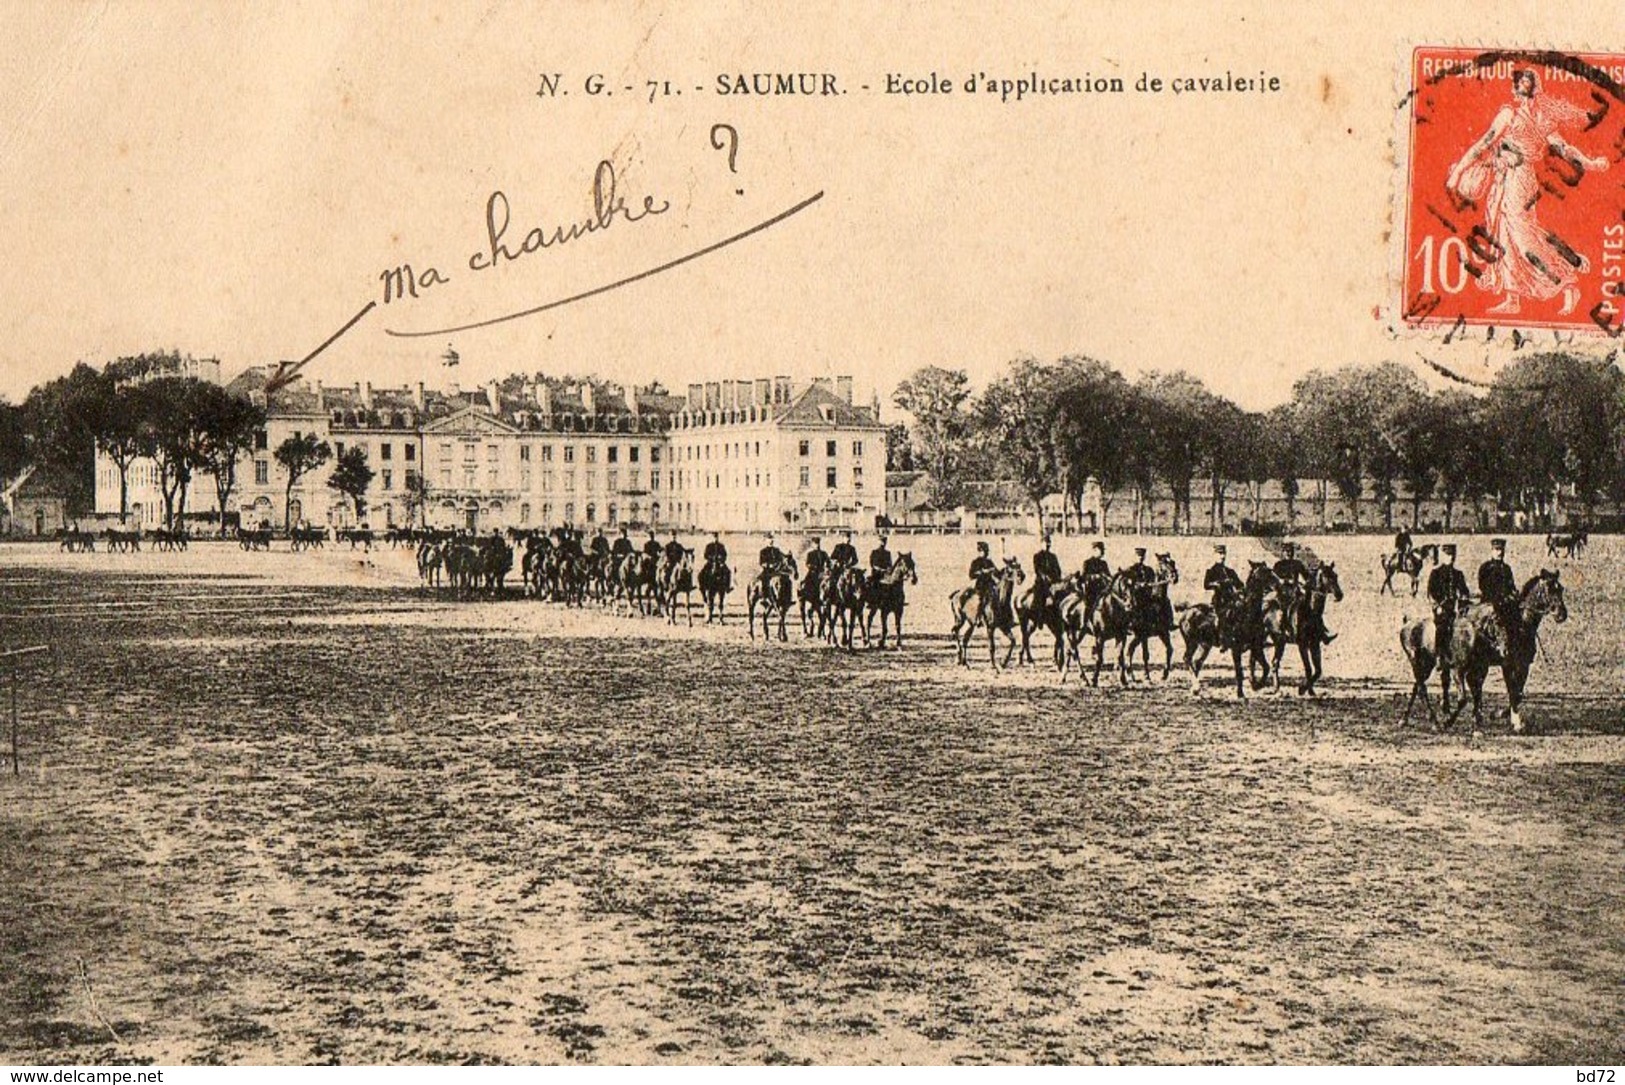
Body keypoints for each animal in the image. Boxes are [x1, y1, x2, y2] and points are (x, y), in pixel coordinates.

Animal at [1404, 568, 1566, 737]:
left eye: (1561, 589)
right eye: (1548, 589)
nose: (1562, 614)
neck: (1520, 624)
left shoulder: (1522, 664)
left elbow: (1518, 692)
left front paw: (1510, 718)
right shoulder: (1505, 664)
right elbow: (1511, 691)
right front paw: (1506, 718)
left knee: (1422, 684)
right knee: (1431, 684)